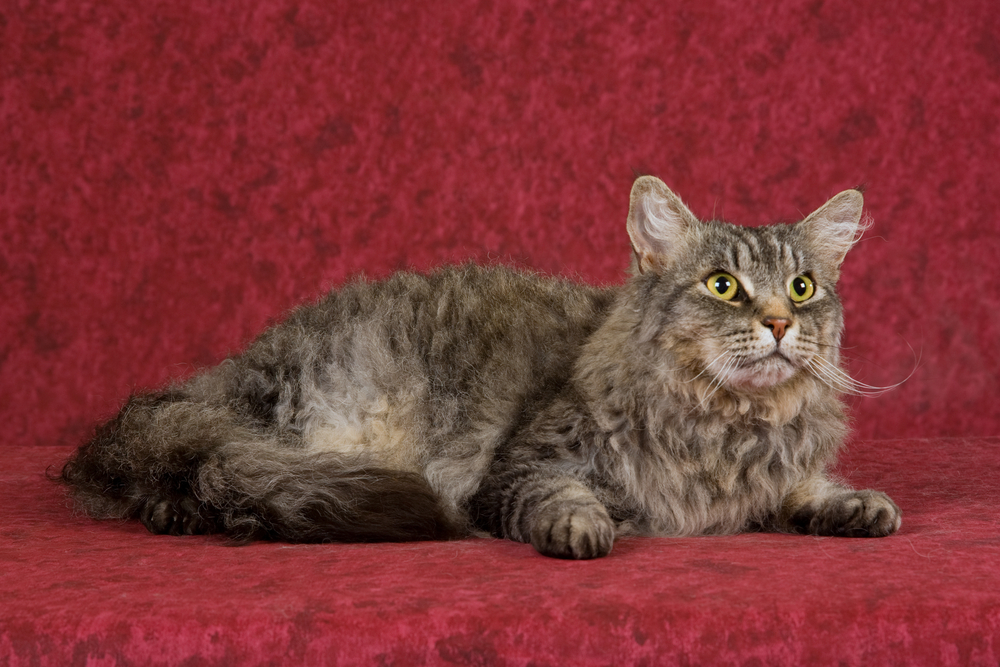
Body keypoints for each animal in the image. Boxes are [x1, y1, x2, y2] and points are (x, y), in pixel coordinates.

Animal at [64, 176, 908, 560]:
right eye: (723, 285)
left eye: (803, 288)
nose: (779, 324)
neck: (727, 427)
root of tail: (212, 377)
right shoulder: (521, 464)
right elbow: (560, 494)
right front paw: (583, 526)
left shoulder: (767, 475)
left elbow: (804, 490)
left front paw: (852, 504)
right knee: (210, 473)